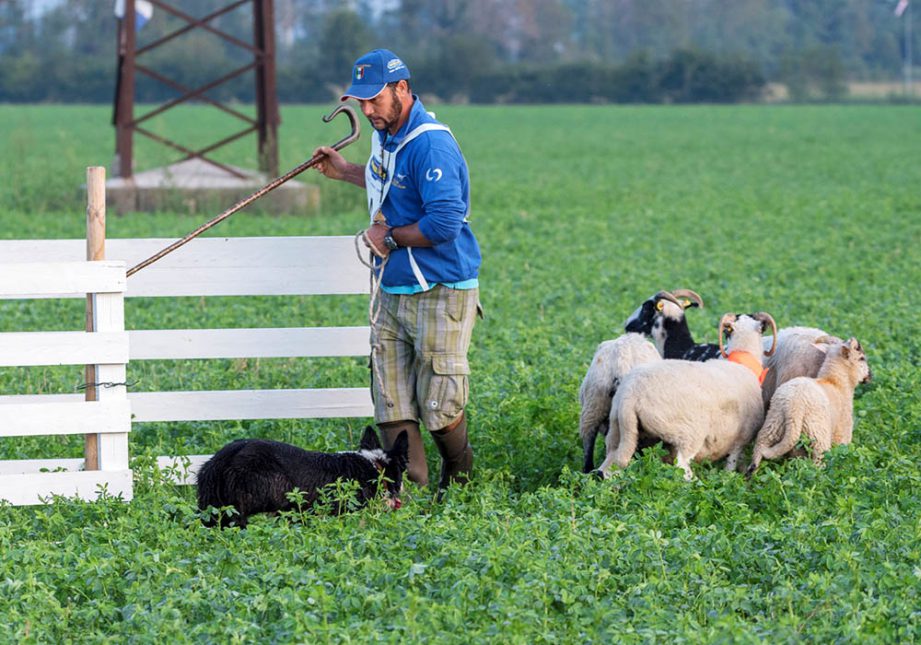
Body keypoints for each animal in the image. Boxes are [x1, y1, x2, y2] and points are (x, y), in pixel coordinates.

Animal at [596, 312, 776, 478]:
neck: (743, 361)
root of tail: (630, 394)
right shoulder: (740, 439)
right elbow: (730, 466)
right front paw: (729, 478)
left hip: (617, 431)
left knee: (607, 466)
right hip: (687, 434)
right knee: (681, 466)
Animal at [748, 334, 868, 476]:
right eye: (862, 358)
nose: (870, 376)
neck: (836, 382)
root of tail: (794, 407)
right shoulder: (842, 432)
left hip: (773, 423)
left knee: (759, 447)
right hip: (818, 437)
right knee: (818, 464)